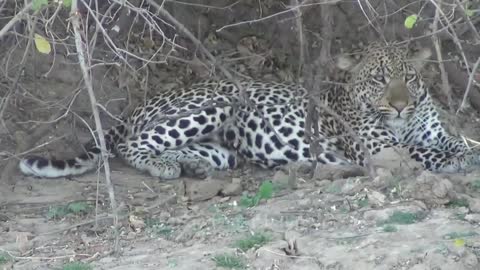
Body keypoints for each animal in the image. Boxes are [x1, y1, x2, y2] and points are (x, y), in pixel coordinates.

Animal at [19, 42, 480, 179]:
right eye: (379, 80)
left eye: (409, 78)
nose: (400, 106)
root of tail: (139, 105)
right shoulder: (381, 149)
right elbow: (429, 152)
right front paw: (460, 160)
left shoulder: (435, 133)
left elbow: (456, 142)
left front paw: (466, 151)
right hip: (220, 99)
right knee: (131, 145)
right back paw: (163, 167)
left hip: (222, 147)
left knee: (196, 152)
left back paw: (192, 166)